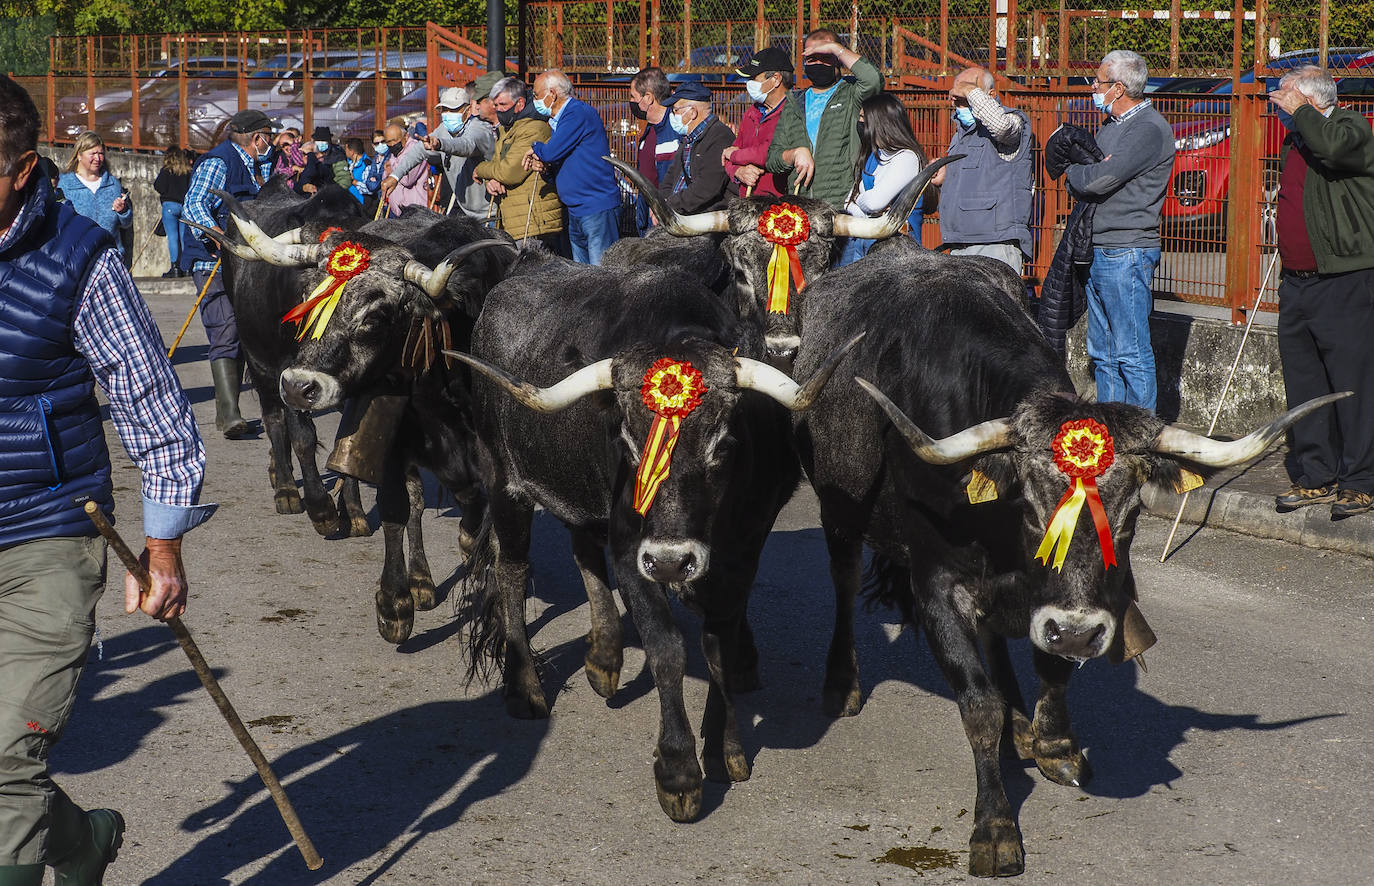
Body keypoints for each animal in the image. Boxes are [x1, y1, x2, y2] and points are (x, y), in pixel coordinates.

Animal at [447, 243, 857, 824]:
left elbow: (719, 645)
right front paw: (680, 771)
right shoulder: (631, 551)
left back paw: (604, 657)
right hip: (504, 481)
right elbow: (668, 649)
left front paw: (725, 747)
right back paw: (525, 689)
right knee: (511, 571)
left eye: (722, 445)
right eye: (626, 440)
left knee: (581, 548)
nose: (670, 563)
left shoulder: (742, 555)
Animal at [791, 239, 1346, 873]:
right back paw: (843, 684)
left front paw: (1052, 742)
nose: (1079, 633)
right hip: (840, 513)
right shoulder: (935, 587)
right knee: (843, 577)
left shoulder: (1059, 600)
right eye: (1032, 508)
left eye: (1130, 514)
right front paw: (995, 826)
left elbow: (1051, 666)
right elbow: (976, 706)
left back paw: (1019, 721)